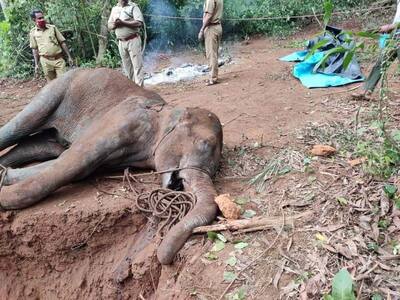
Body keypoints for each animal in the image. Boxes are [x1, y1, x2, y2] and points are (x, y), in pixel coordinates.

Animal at [0, 68, 222, 264]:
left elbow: (75, 166)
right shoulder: (125, 118)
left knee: (39, 145)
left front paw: (5, 177)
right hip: (57, 88)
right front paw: (2, 196)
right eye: (204, 143)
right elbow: (76, 160)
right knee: (21, 126)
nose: (162, 254)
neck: (167, 111)